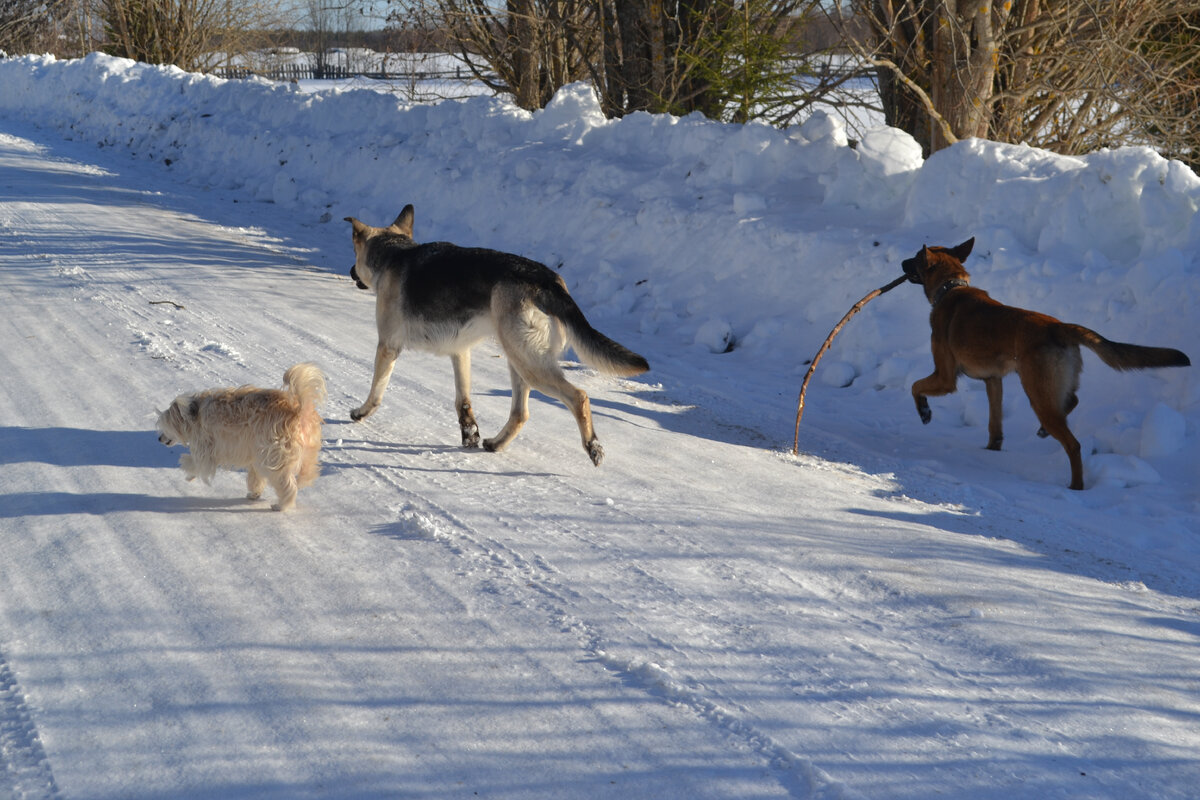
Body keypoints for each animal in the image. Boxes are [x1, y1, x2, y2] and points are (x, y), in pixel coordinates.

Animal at [159, 364, 331, 510]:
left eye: (165, 425)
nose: (159, 439)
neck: (195, 414)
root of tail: (297, 411)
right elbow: (256, 478)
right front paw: (254, 493)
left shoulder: (206, 448)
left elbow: (197, 463)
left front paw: (189, 473)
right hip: (299, 454)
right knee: (306, 475)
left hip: (275, 459)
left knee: (287, 486)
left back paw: (281, 505)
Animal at [902, 237, 1190, 489]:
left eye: (915, 258)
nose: (902, 263)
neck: (951, 287)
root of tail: (1058, 327)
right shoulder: (993, 381)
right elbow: (995, 423)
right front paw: (992, 448)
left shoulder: (945, 377)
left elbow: (915, 386)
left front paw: (924, 412)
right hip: (1050, 386)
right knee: (1070, 401)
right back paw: (1044, 431)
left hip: (1036, 390)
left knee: (1073, 444)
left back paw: (1076, 485)